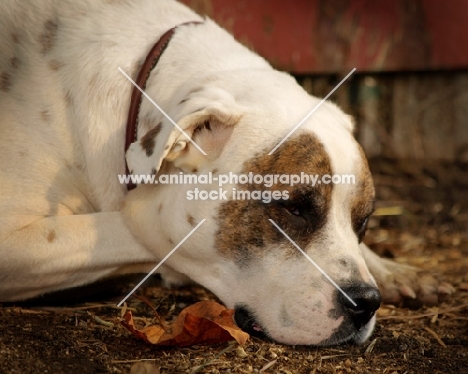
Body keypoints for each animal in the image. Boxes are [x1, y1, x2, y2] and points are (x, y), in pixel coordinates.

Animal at [0, 0, 448, 346]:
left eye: (365, 222)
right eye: (292, 208)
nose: (366, 301)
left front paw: (392, 269)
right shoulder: (15, 241)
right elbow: (140, 225)